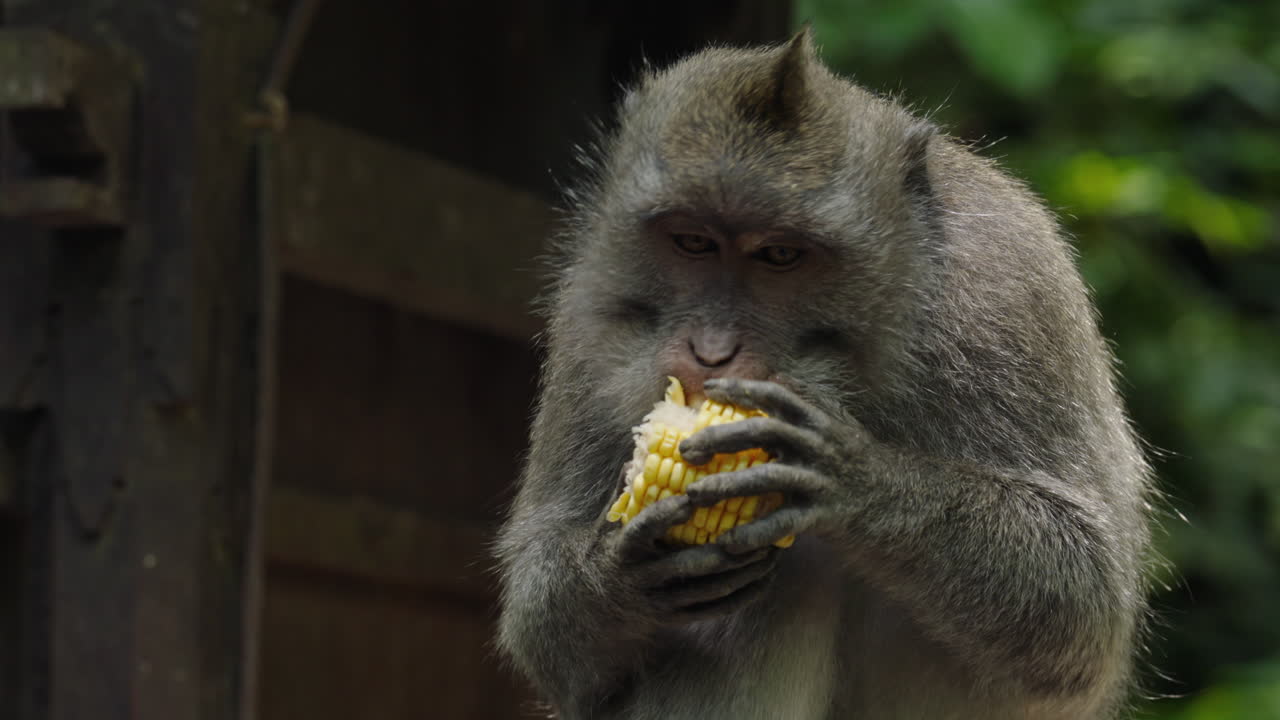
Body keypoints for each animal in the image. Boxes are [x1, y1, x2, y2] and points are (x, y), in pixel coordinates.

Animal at [495, 30, 1152, 720]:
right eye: (693, 242)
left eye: (781, 255)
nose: (711, 352)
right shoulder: (586, 314)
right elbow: (543, 620)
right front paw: (625, 573)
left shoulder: (1010, 287)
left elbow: (1084, 602)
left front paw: (853, 481)